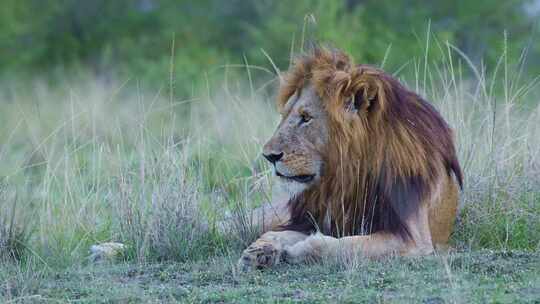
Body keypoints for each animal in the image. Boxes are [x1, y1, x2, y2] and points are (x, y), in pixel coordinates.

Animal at [238, 46, 462, 270]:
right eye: (285, 115)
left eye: (305, 117)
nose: (269, 156)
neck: (349, 175)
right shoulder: (312, 218)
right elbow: (276, 233)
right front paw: (258, 250)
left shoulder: (414, 238)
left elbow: (347, 245)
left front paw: (299, 250)